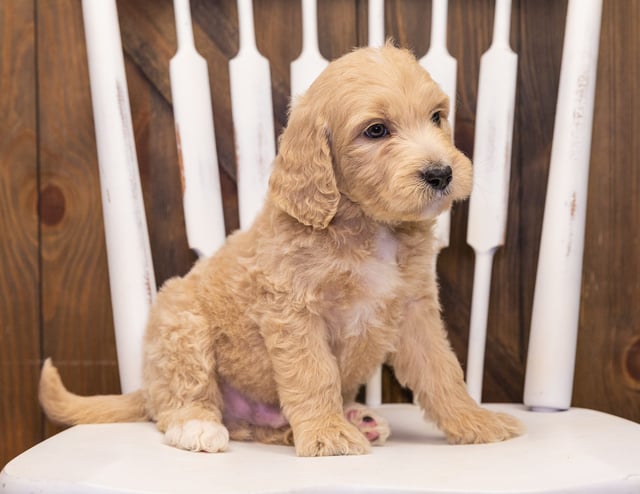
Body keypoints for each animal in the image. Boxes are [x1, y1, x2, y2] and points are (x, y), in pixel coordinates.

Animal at [40, 42, 524, 456]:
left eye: (437, 117)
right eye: (376, 130)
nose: (441, 173)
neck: (369, 226)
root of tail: (145, 386)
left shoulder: (415, 310)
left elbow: (443, 372)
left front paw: (475, 422)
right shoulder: (294, 310)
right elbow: (313, 373)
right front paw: (327, 434)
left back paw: (353, 419)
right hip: (181, 324)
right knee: (184, 398)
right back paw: (199, 425)